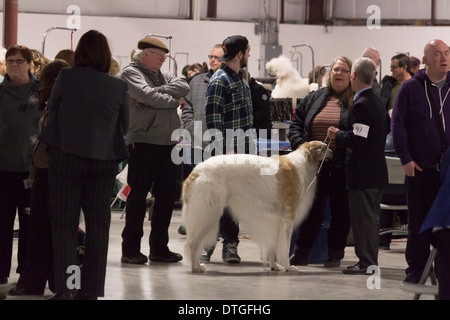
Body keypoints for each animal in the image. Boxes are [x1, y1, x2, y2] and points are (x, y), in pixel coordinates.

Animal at [181, 141, 332, 274]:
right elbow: (284, 248)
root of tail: (196, 171)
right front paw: (288, 266)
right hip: (209, 215)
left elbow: (271, 247)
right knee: (192, 243)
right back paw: (196, 268)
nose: (333, 151)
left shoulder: (274, 221)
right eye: (325, 147)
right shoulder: (288, 219)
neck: (304, 160)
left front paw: (274, 266)